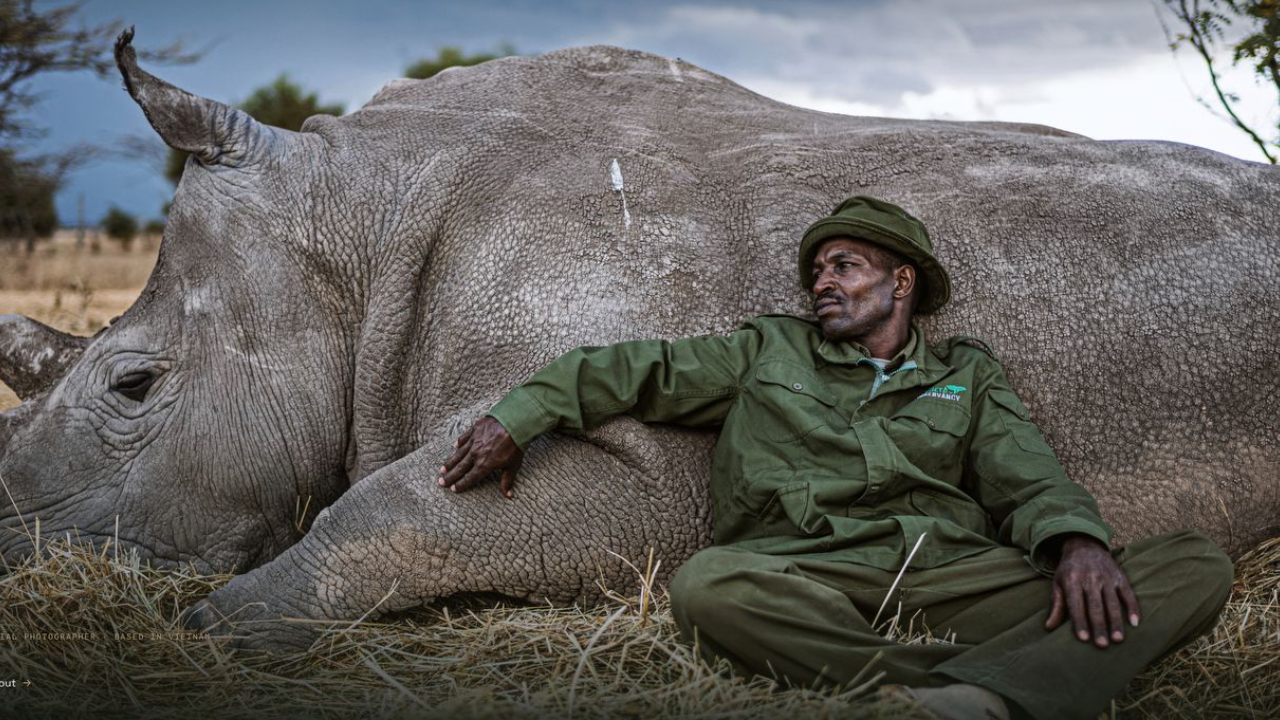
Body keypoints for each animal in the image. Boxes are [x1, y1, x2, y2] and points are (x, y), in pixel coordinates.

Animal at [0, 29, 1277, 650]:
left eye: (132, 383)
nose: (18, 560)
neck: (357, 224)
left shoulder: (643, 478)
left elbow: (393, 512)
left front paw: (218, 631)